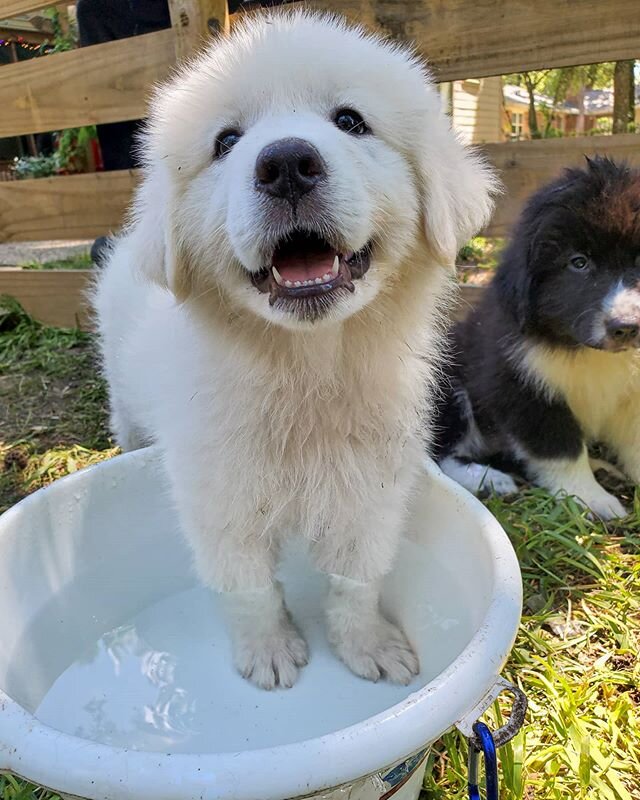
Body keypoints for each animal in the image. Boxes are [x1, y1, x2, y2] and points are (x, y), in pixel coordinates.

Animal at [94, 9, 496, 692]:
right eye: (227, 141)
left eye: (350, 121)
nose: (285, 164)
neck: (307, 369)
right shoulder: (219, 499)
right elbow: (249, 589)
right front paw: (270, 652)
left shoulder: (370, 494)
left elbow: (355, 582)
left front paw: (368, 645)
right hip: (126, 404)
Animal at [436, 156, 640, 520]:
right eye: (578, 263)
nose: (627, 327)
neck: (587, 352)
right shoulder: (523, 389)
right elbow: (561, 450)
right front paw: (591, 499)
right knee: (440, 452)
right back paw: (490, 480)